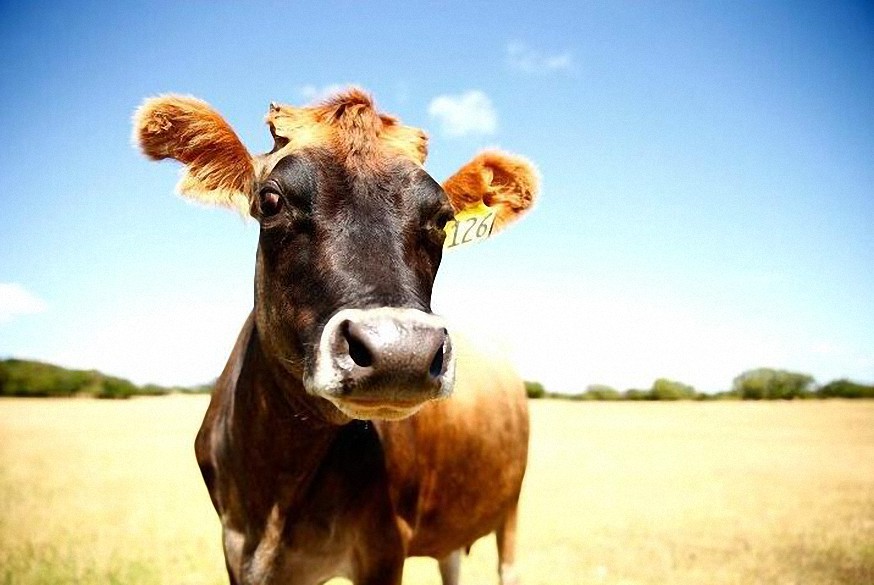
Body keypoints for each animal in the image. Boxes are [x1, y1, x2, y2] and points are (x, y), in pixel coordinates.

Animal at [133, 88, 536, 584]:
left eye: (442, 219)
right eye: (270, 200)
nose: (400, 351)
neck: (277, 489)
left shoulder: (385, 547)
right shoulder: (235, 548)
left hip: (510, 509)